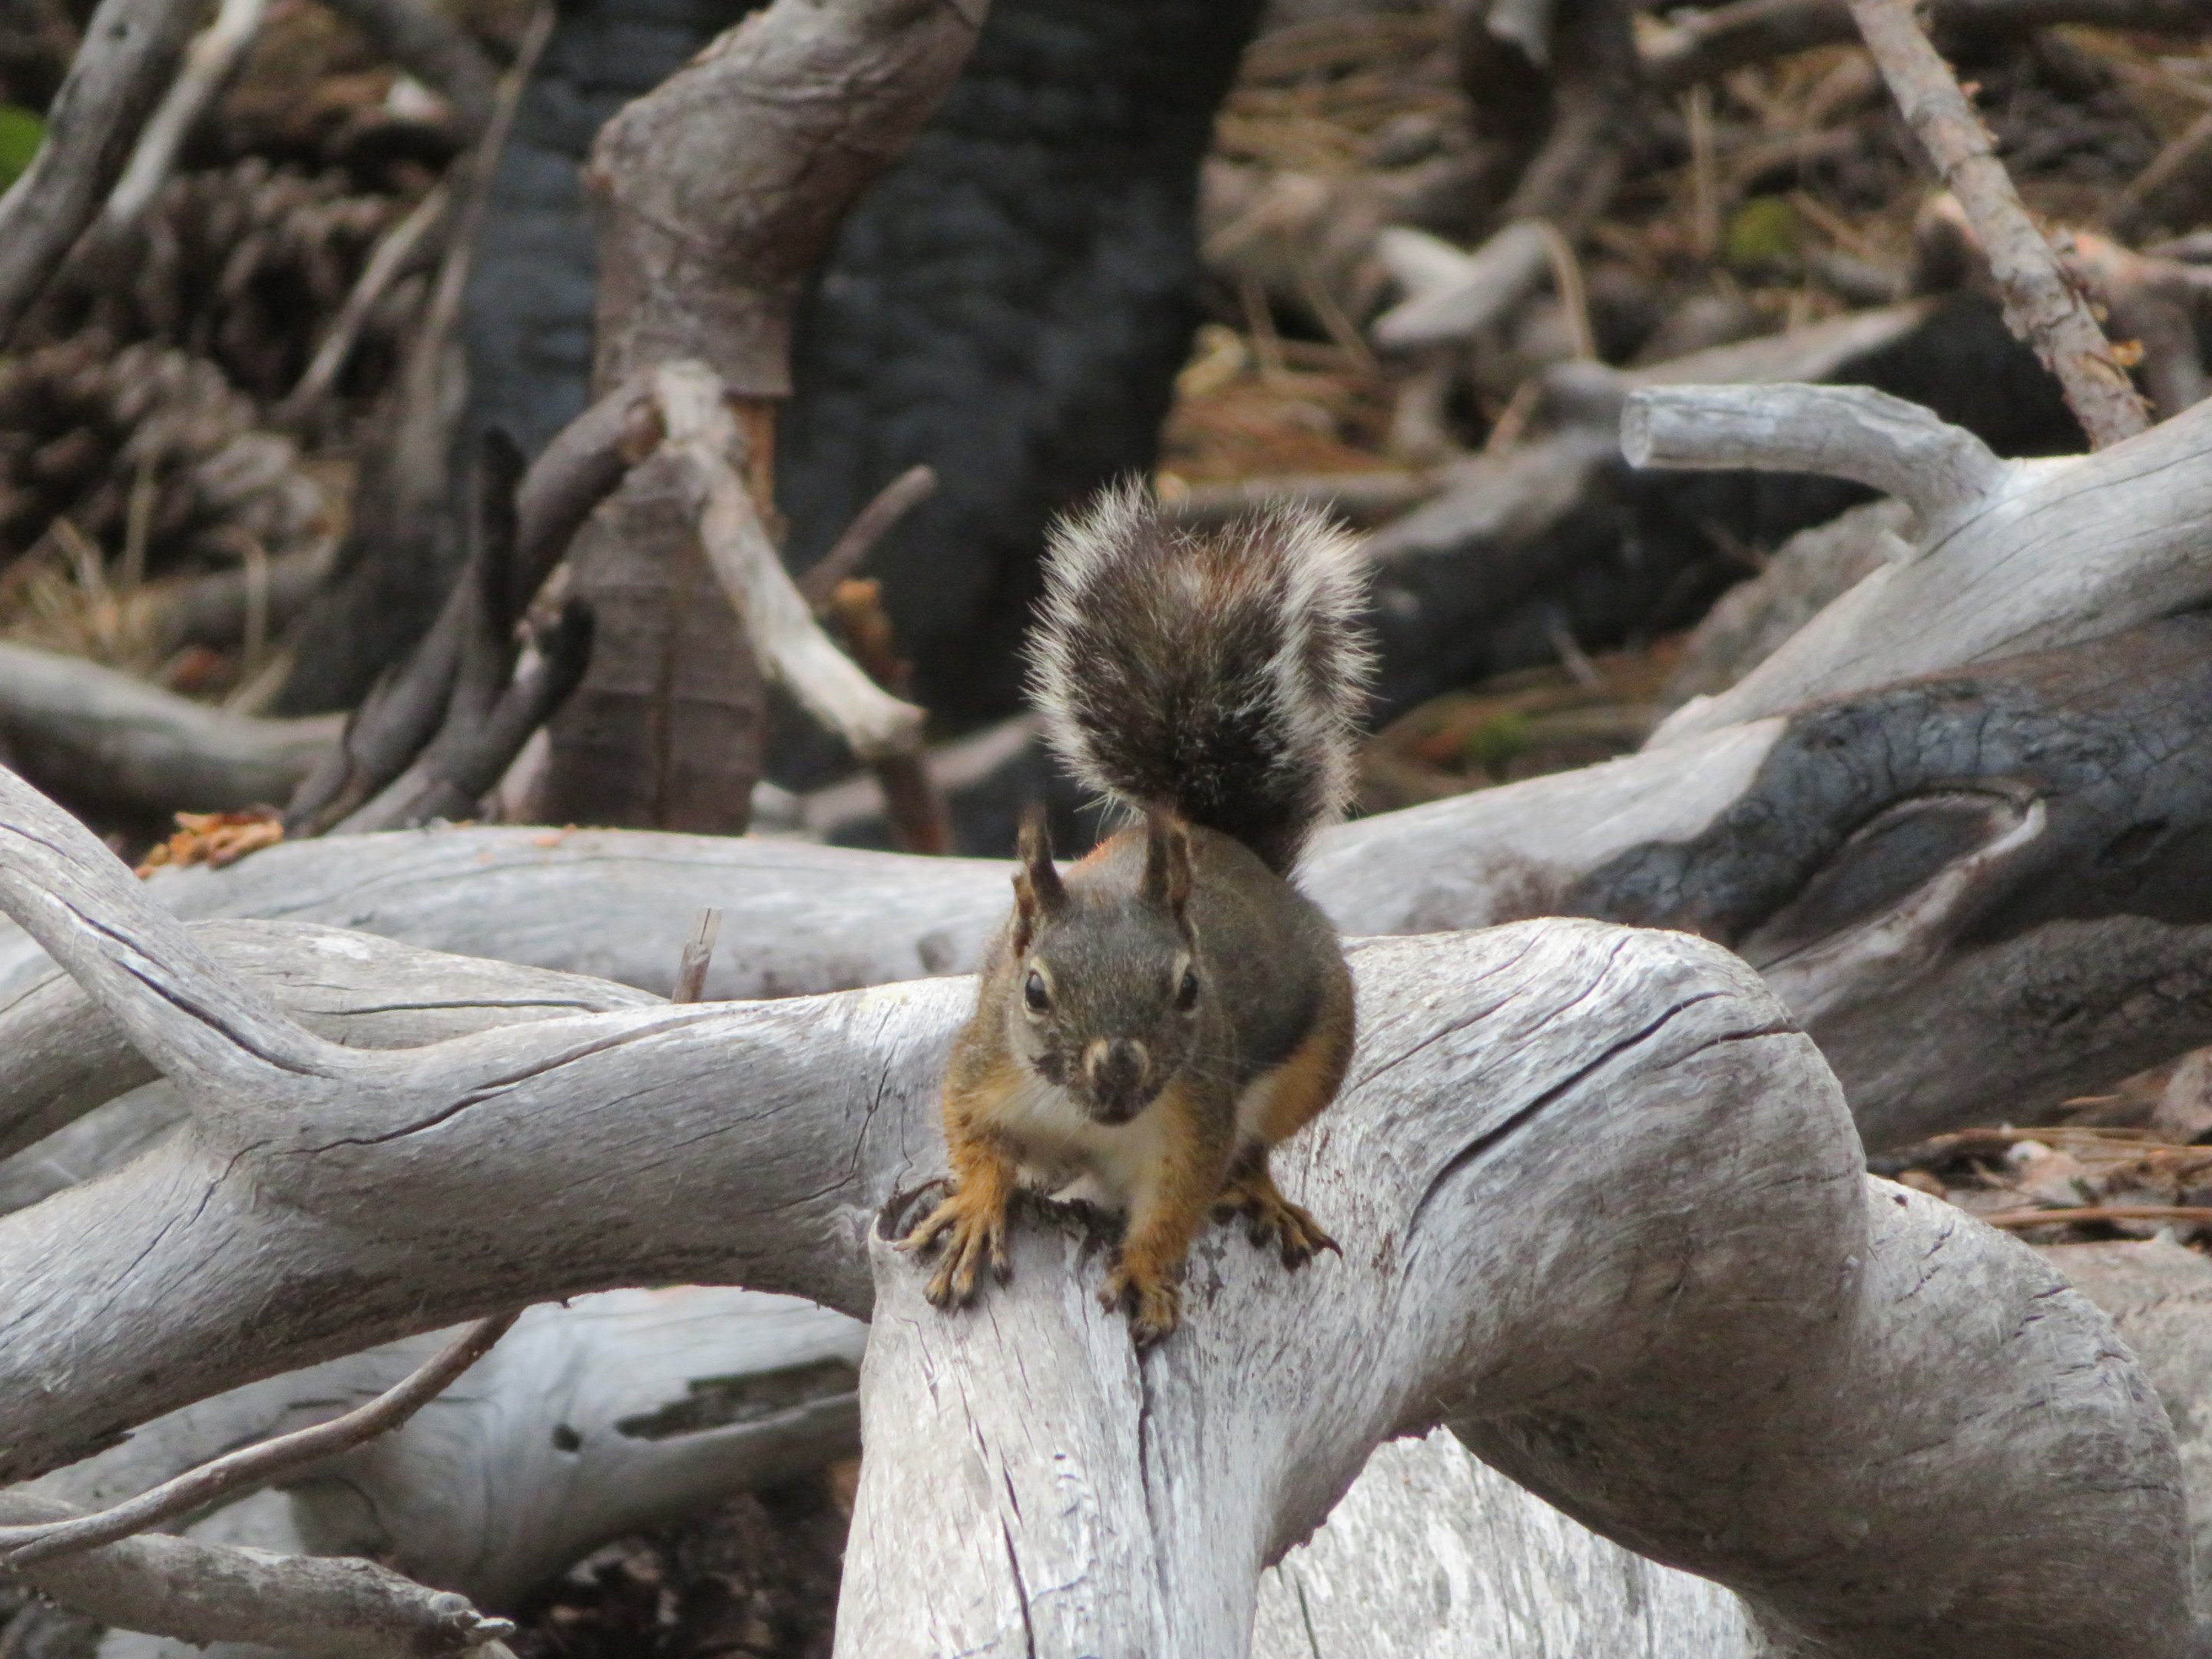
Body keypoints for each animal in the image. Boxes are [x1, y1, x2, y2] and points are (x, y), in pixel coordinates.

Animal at [897, 482, 1373, 1343]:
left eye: (1190, 987)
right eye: (1034, 989)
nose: (1118, 1064)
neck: (1094, 1117)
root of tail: (1224, 846)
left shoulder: (1195, 1119)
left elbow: (1174, 1209)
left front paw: (1148, 1272)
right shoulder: (984, 1069)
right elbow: (975, 1143)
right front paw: (978, 1209)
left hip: (1314, 1060)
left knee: (1255, 1152)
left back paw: (1264, 1196)